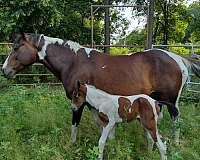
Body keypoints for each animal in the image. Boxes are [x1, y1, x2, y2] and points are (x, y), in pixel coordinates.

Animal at [1, 33, 200, 143]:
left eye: (17, 47)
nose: (4, 70)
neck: (73, 62)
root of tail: (178, 57)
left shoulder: (78, 102)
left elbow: (75, 124)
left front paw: (72, 145)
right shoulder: (93, 103)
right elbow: (101, 123)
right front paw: (111, 140)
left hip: (171, 101)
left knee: (176, 121)